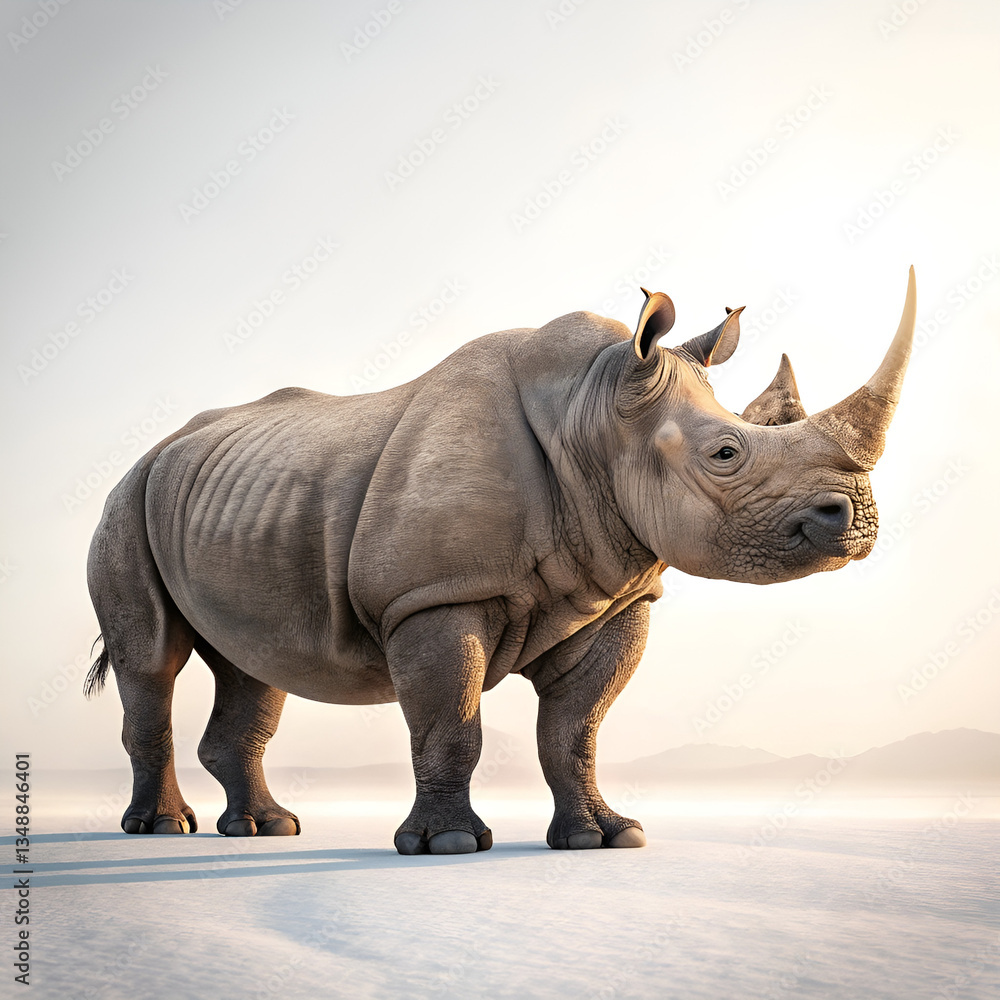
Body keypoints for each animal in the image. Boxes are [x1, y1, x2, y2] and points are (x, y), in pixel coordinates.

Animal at [85, 267, 916, 854]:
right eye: (726, 453)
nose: (853, 517)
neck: (595, 409)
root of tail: (157, 450)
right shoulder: (432, 595)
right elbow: (451, 721)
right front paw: (449, 844)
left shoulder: (615, 598)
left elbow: (576, 729)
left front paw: (604, 838)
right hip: (125, 500)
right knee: (151, 660)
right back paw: (162, 831)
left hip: (227, 504)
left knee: (251, 665)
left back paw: (267, 829)